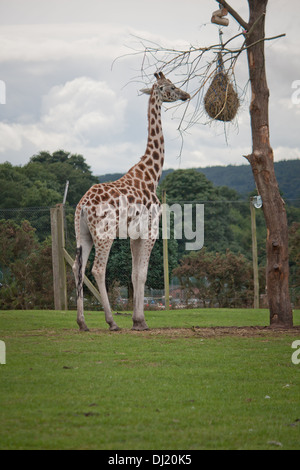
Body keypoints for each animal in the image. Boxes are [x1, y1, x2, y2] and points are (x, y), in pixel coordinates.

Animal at [73, 71, 190, 332]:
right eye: (170, 86)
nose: (186, 94)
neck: (151, 175)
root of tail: (82, 206)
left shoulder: (134, 235)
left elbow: (135, 274)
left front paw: (137, 320)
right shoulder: (150, 230)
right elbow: (142, 274)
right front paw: (140, 321)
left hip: (82, 234)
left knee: (78, 267)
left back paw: (82, 323)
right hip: (104, 233)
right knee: (98, 268)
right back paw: (112, 322)